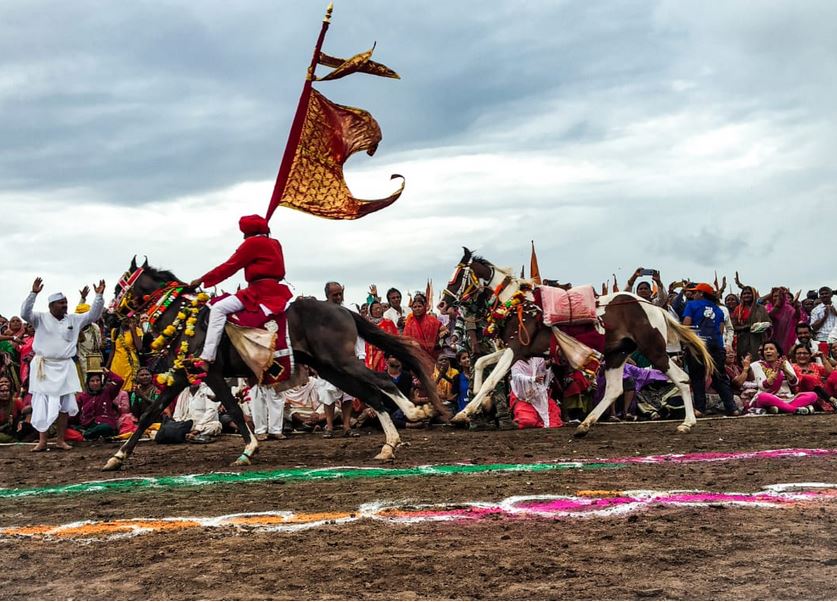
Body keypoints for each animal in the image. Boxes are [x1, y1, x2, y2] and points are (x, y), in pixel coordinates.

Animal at [440, 248, 716, 436]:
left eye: (458, 275)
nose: (443, 302)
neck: (519, 303)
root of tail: (654, 307)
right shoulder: (517, 348)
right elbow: (480, 364)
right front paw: (475, 397)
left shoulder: (517, 348)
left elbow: (492, 378)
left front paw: (463, 413)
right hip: (617, 354)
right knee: (614, 390)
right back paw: (585, 424)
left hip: (654, 350)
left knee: (682, 378)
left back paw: (687, 423)